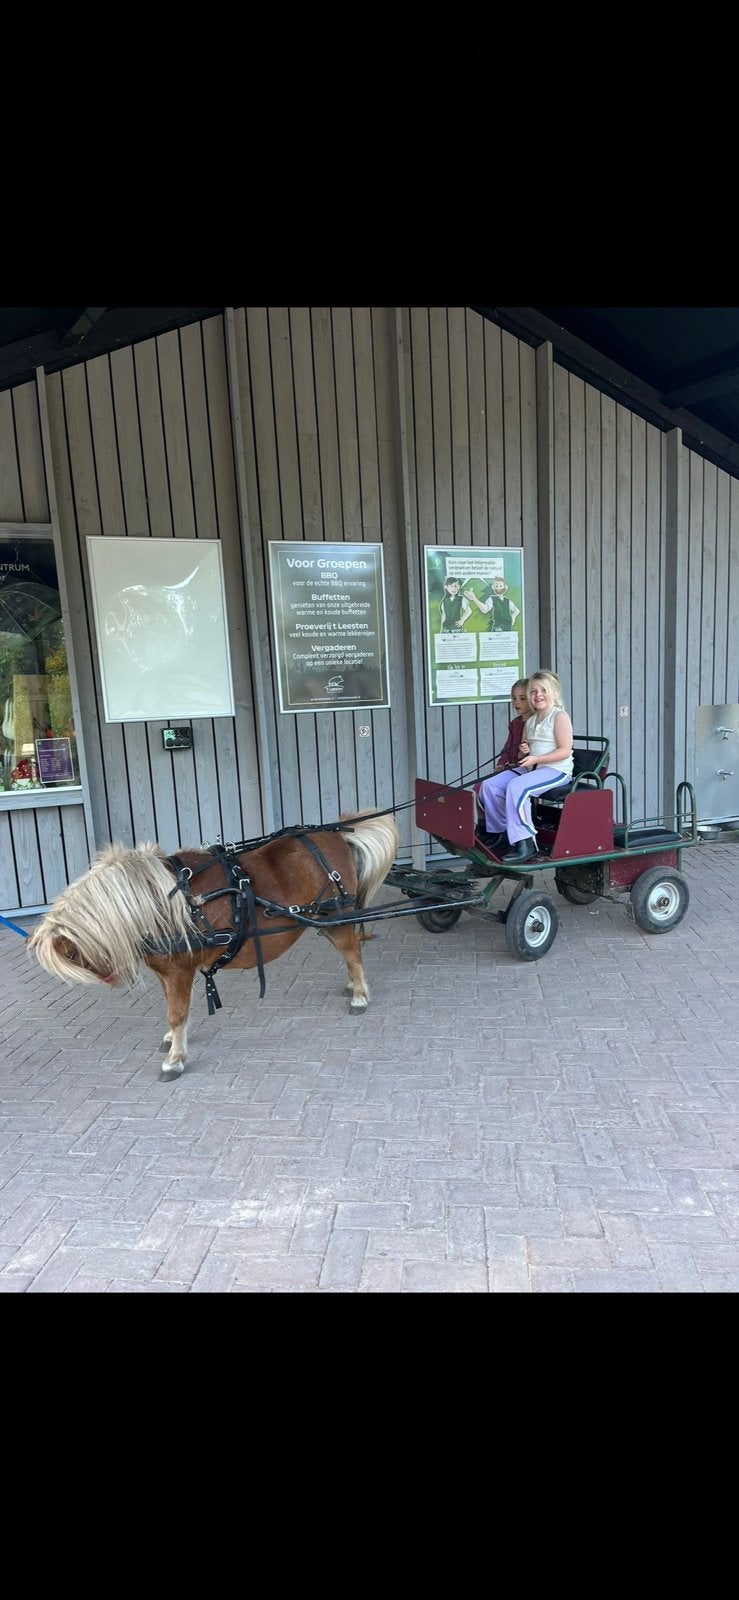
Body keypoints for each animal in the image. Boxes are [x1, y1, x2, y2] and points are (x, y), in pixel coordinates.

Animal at [28, 810, 399, 1081]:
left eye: (72, 952)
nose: (107, 976)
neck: (158, 903)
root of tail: (336, 833)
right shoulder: (167, 973)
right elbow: (174, 1009)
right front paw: (172, 1040)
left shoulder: (180, 970)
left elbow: (177, 1012)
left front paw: (175, 1059)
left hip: (337, 916)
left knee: (352, 952)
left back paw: (359, 994)